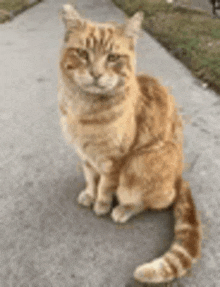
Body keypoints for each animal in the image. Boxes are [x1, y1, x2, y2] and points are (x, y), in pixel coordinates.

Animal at [57, 3, 202, 284]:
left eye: (113, 57)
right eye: (82, 53)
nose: (96, 74)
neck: (85, 109)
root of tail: (180, 176)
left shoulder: (115, 159)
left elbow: (105, 186)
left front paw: (101, 204)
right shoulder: (85, 155)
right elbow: (91, 178)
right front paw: (89, 193)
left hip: (140, 163)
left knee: (151, 201)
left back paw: (123, 209)